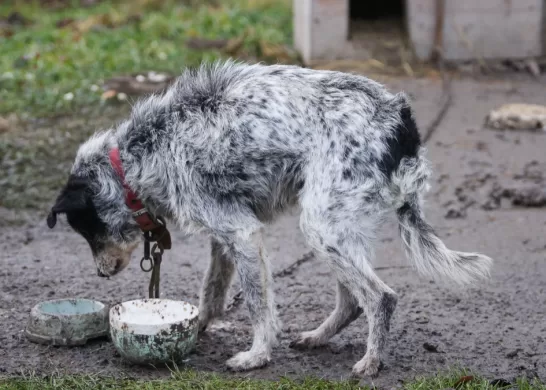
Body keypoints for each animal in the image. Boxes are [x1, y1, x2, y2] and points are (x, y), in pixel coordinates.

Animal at [45, 61, 488, 378]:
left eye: (88, 231)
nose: (101, 273)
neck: (138, 156)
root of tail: (401, 120)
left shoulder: (241, 233)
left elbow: (258, 304)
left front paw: (257, 355)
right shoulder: (223, 236)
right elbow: (211, 292)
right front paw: (197, 327)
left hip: (321, 226)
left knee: (380, 298)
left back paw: (371, 363)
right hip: (339, 229)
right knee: (352, 301)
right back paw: (317, 338)